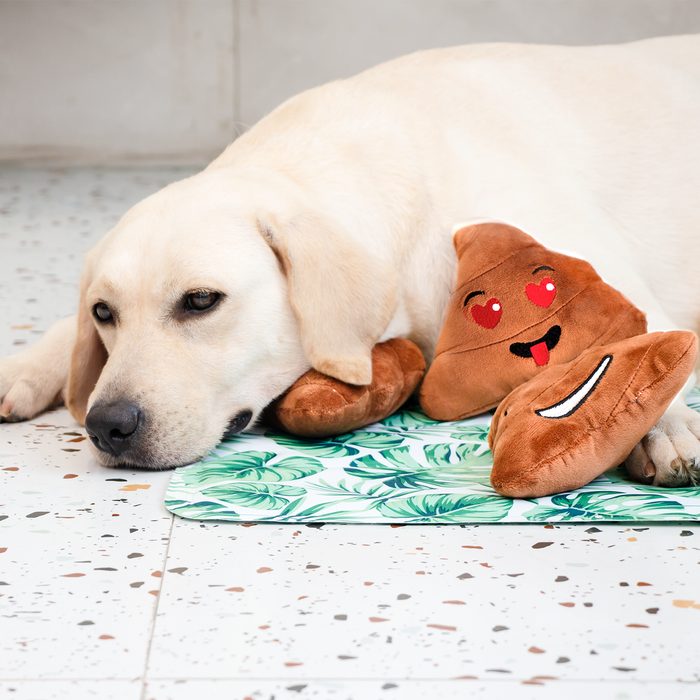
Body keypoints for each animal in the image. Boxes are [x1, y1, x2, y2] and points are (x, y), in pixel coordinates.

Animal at [1, 35, 700, 484]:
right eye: (103, 313)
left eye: (200, 301)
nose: (107, 426)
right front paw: (28, 365)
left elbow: (637, 340)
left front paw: (661, 424)